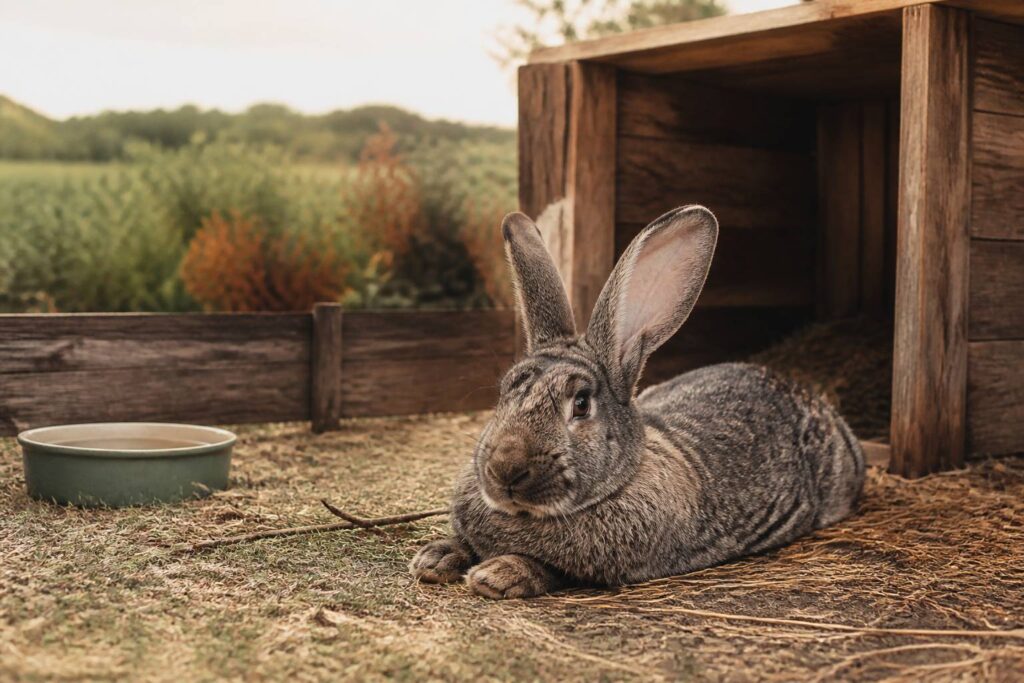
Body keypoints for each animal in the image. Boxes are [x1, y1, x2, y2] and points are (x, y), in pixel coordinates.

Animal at [410, 205, 865, 599]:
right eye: (506, 391)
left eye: (581, 404)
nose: (505, 469)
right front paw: (434, 558)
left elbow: (553, 569)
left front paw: (497, 575)